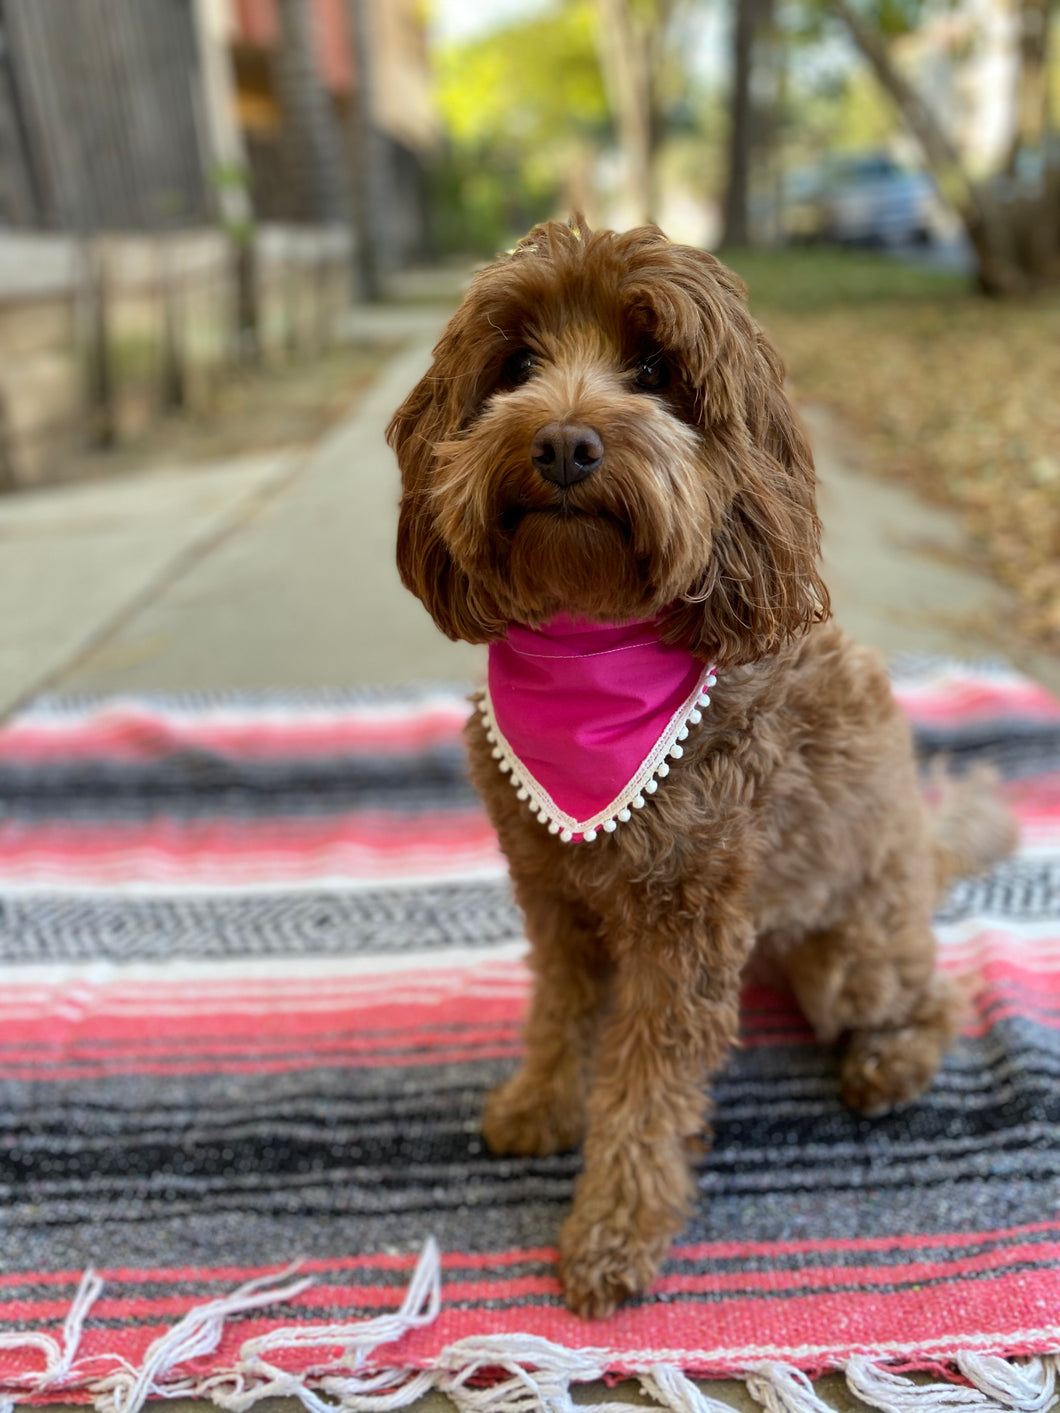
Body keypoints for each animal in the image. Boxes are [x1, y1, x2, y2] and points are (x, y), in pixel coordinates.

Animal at [387, 217, 1017, 1311]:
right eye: (516, 365)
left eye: (654, 370)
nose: (562, 443)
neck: (591, 643)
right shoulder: (553, 892)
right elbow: (558, 1009)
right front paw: (539, 1102)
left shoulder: (684, 927)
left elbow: (644, 1091)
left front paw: (612, 1232)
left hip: (852, 956)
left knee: (930, 993)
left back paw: (889, 1065)